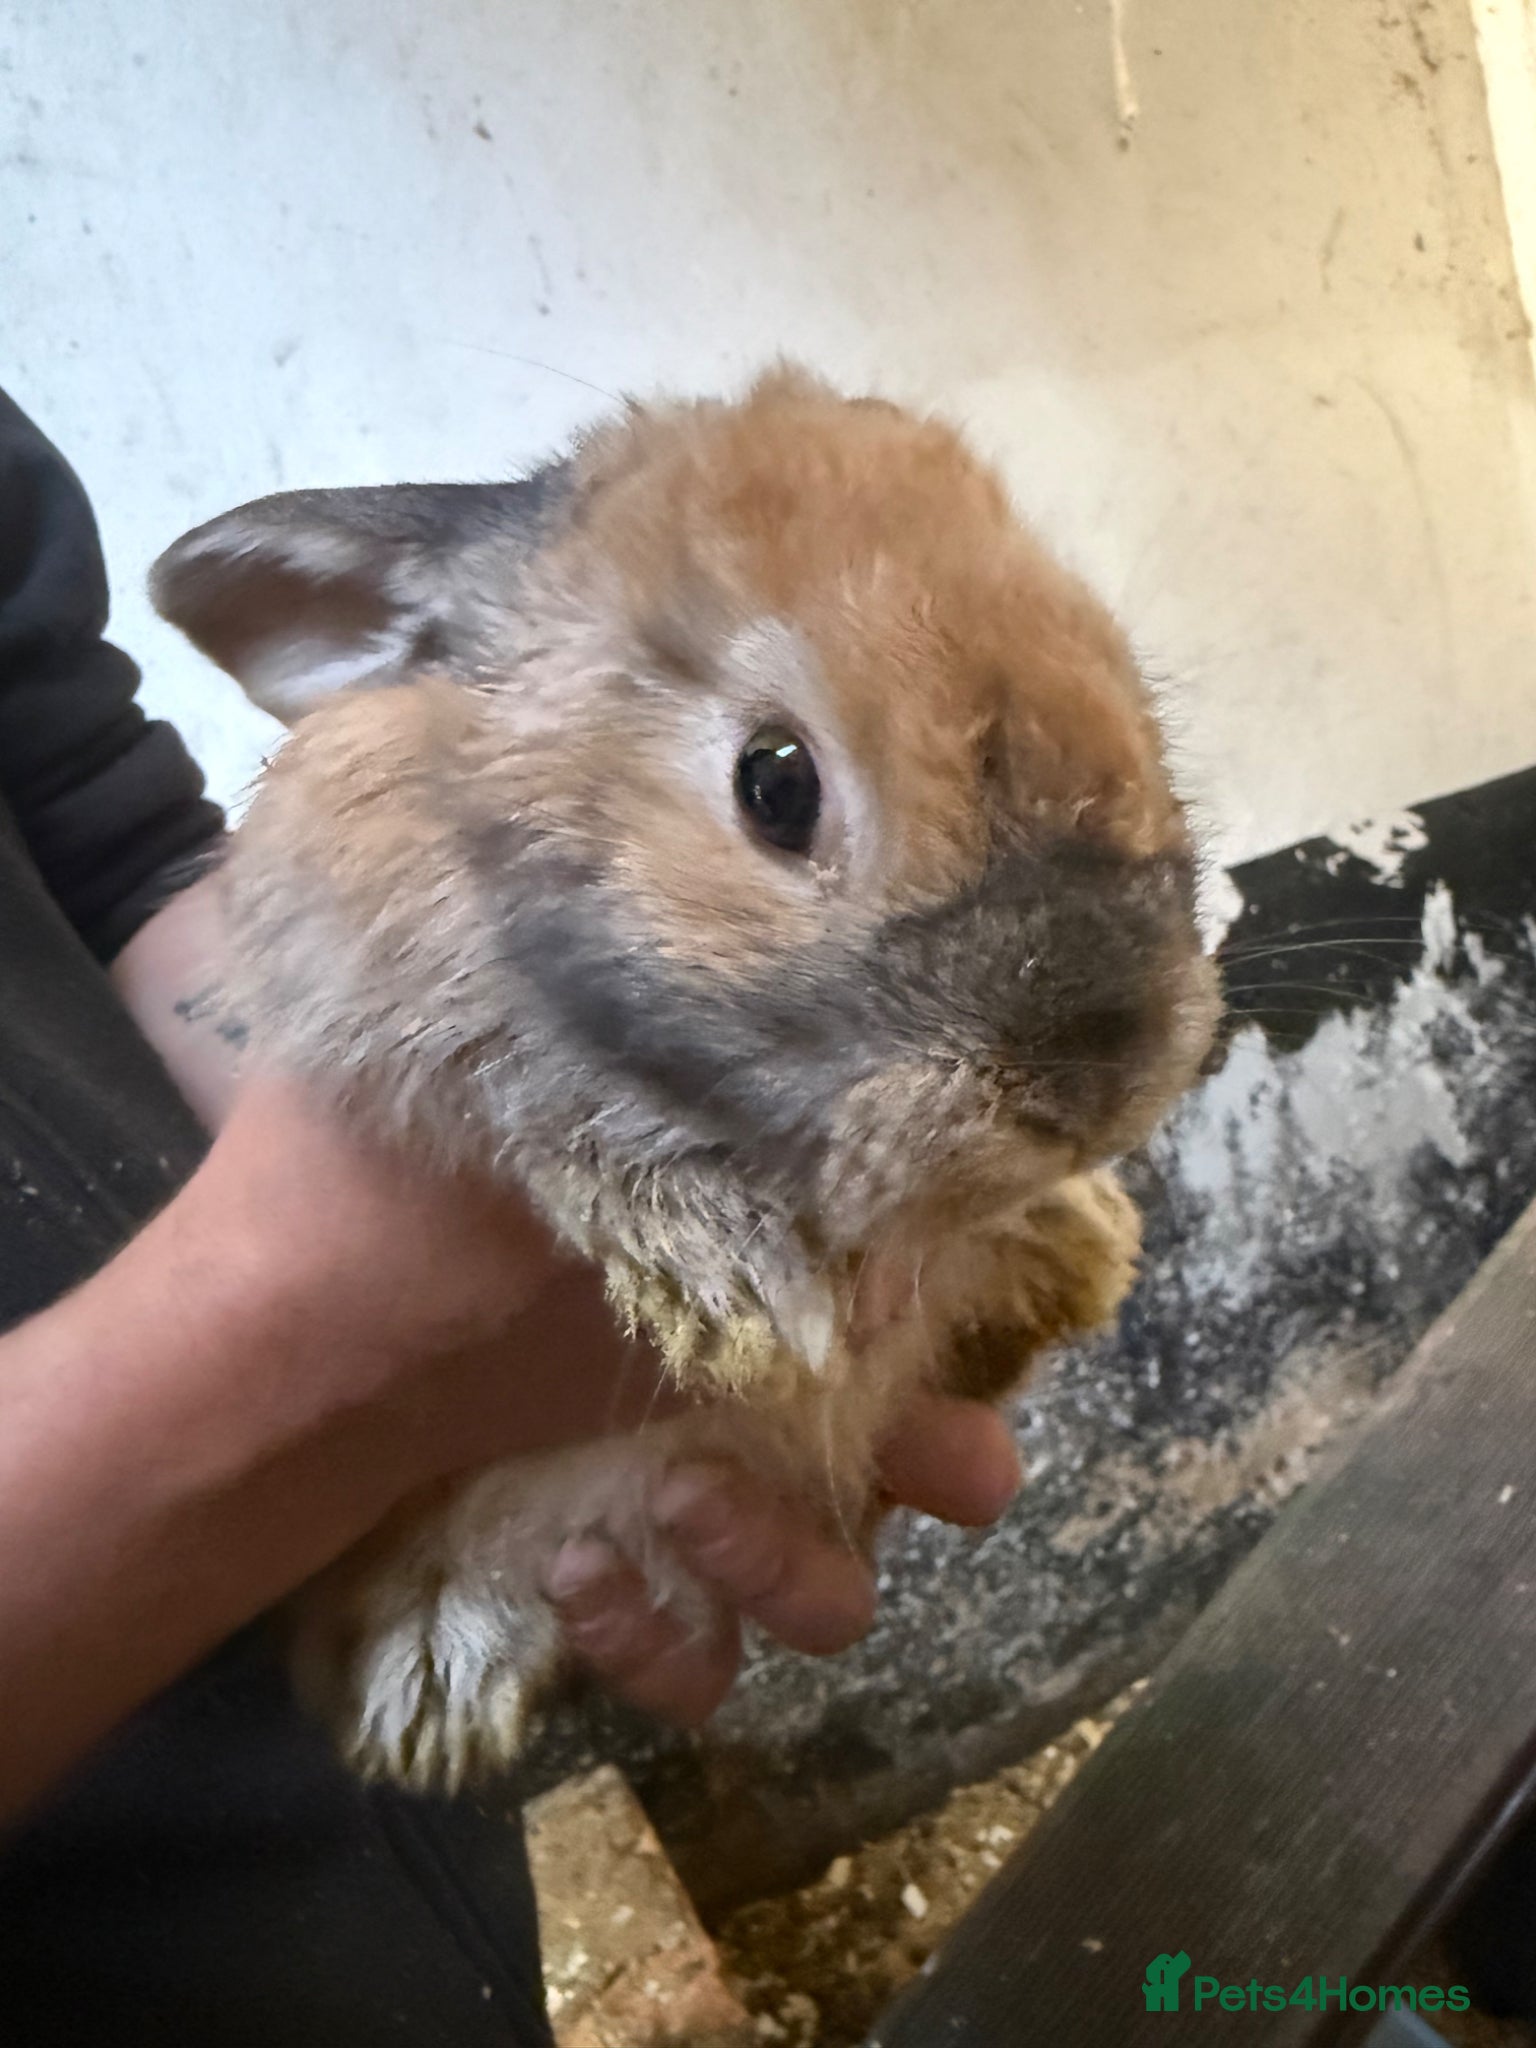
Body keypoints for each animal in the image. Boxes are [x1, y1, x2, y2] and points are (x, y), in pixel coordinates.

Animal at [151, 366, 1221, 1791]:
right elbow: (547, 1099)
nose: (1097, 1079)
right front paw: (728, 1280)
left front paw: (1081, 1224)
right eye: (775, 780)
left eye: (1124, 683)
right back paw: (429, 1688)